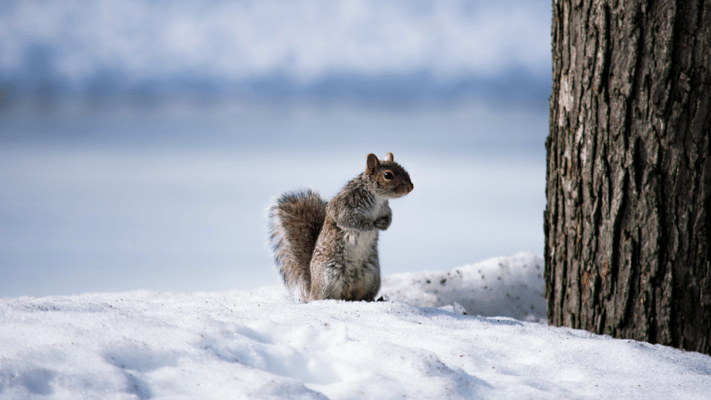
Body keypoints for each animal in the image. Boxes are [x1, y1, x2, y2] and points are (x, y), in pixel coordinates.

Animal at [268, 152, 414, 302]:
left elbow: (388, 218)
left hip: (371, 276)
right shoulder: (343, 207)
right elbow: (348, 220)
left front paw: (382, 225)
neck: (378, 200)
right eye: (388, 175)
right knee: (323, 296)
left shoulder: (385, 210)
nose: (411, 187)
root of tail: (311, 290)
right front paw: (368, 225)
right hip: (328, 276)